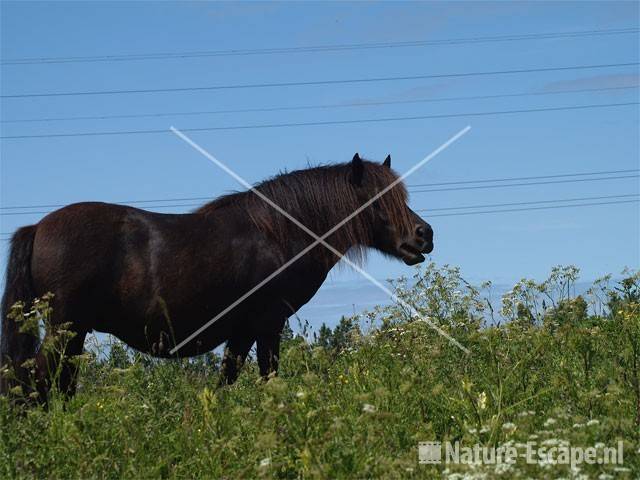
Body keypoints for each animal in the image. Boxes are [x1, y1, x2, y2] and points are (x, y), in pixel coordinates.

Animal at [0, 155, 432, 402]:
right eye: (379, 199)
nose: (424, 235)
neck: (278, 233)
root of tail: (38, 227)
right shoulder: (268, 324)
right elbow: (268, 379)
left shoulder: (241, 331)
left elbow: (227, 382)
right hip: (66, 330)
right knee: (36, 380)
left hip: (74, 335)